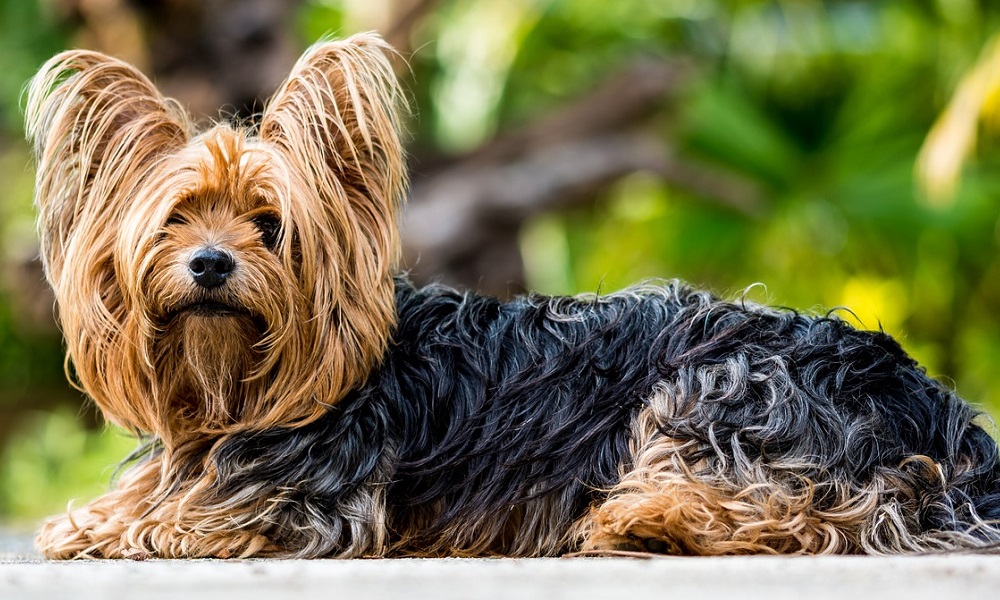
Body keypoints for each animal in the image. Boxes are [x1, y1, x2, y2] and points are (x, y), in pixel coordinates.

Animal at [23, 31, 1000, 556]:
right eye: (177, 219)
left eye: (272, 226)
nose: (212, 265)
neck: (237, 389)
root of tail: (945, 416)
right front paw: (96, 518)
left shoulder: (307, 510)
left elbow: (176, 523)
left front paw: (109, 530)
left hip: (728, 384)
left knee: (815, 515)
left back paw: (645, 524)